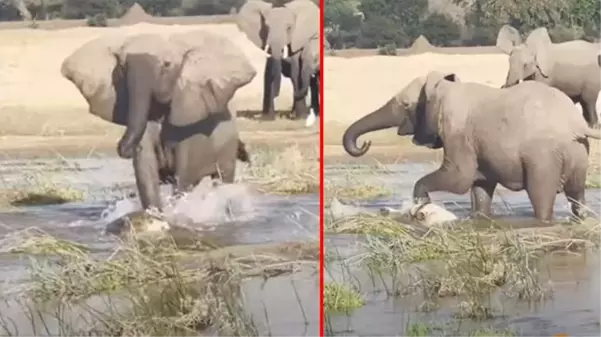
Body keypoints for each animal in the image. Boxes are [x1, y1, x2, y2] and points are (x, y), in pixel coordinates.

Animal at [61, 30, 255, 211]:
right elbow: (146, 169)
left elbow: (184, 175)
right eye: (122, 67)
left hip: (227, 147)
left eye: (167, 65)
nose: (123, 148)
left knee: (223, 179)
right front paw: (155, 213)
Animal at [344, 71, 601, 223]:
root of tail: (576, 124)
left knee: (541, 197)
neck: (444, 88)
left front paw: (420, 204)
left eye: (406, 105)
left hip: (544, 157)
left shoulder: (457, 132)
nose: (365, 143)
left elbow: (458, 178)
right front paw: (479, 219)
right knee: (577, 194)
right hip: (577, 153)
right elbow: (480, 185)